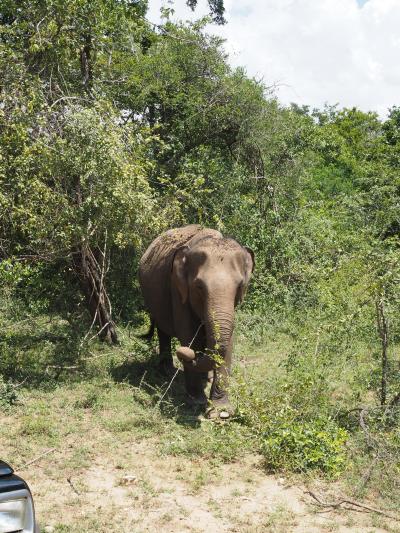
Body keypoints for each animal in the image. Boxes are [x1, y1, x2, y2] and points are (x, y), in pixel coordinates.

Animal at [139, 222, 255, 418]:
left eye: (240, 286)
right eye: (199, 286)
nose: (181, 352)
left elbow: (228, 342)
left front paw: (221, 412)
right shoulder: (177, 290)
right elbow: (188, 334)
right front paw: (196, 402)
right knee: (163, 330)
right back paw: (167, 372)